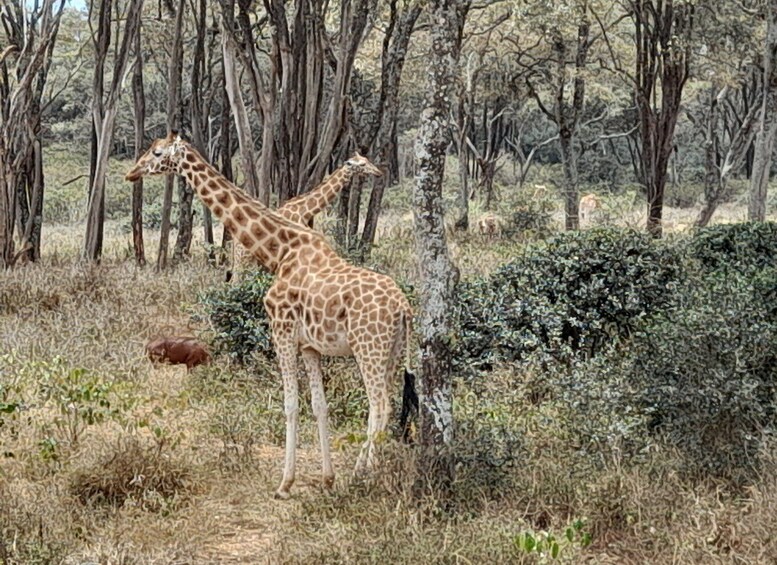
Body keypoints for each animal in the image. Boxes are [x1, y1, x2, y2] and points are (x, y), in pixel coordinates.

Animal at [230, 152, 382, 278]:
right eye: (362, 164)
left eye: (367, 159)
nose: (378, 172)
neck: (304, 211)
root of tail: (234, 243)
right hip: (245, 261)